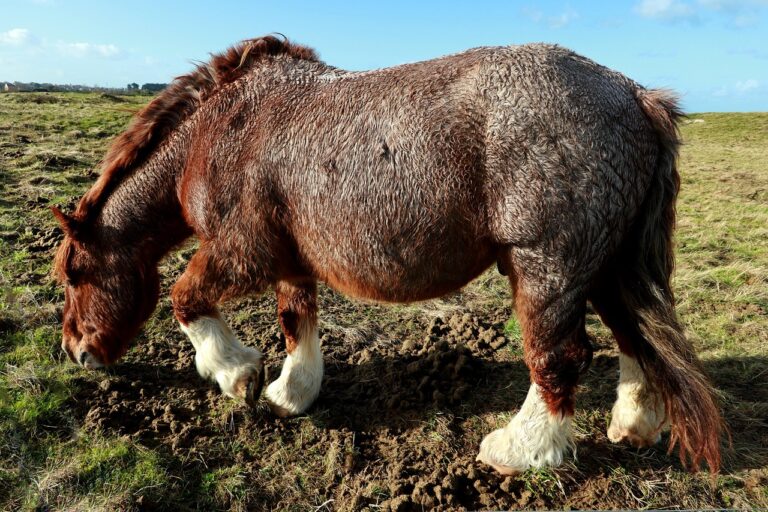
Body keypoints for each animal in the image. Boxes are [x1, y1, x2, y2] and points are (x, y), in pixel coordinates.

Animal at [52, 35, 723, 476]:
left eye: (74, 273)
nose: (78, 352)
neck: (222, 128)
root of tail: (636, 95)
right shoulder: (292, 260)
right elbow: (296, 320)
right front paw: (293, 391)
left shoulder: (241, 252)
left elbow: (185, 299)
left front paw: (235, 373)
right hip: (607, 267)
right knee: (634, 340)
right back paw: (633, 424)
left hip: (547, 267)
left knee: (561, 357)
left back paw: (521, 451)